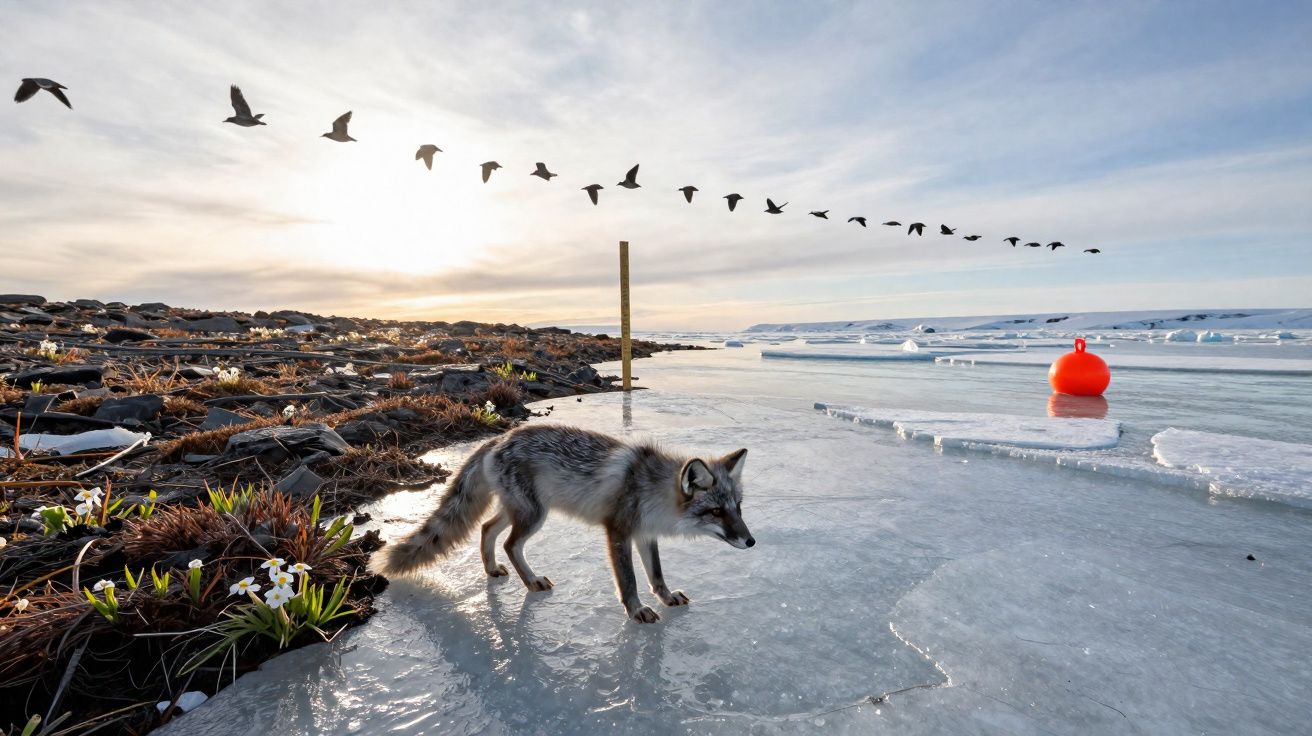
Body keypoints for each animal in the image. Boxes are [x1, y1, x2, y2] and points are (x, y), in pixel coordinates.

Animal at [382, 424, 754, 623]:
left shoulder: (645, 535)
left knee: (487, 529)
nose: (751, 542)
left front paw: (665, 597)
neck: (651, 488)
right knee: (509, 544)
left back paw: (491, 569)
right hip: (533, 516)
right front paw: (636, 611)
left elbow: (656, 575)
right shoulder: (618, 531)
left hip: (520, 511)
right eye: (716, 512)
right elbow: (629, 581)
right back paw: (531, 581)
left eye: (737, 508)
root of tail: (500, 437)